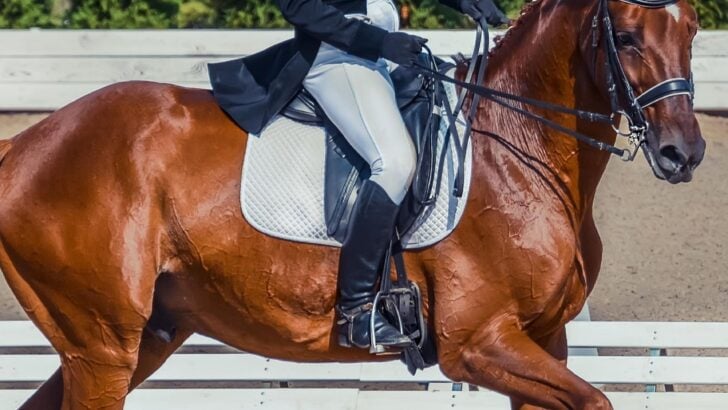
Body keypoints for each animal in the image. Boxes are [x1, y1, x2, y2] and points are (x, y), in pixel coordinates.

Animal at [0, 0, 704, 408]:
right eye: (627, 36)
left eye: (693, 30)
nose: (685, 153)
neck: (518, 147)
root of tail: (25, 143)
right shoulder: (478, 344)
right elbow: (598, 400)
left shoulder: (544, 341)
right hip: (102, 348)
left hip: (143, 336)